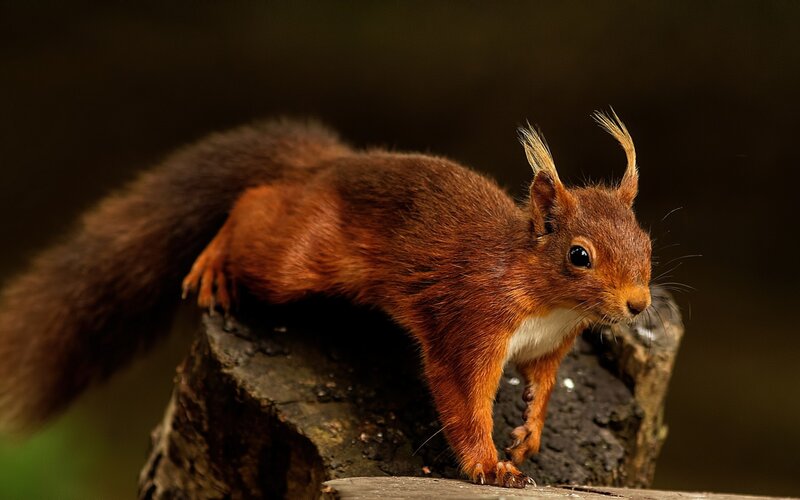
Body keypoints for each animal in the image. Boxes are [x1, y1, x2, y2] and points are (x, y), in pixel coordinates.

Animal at [0, 111, 651, 489]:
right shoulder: (470, 322)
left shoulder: (550, 346)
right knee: (257, 203)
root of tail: (327, 166)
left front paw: (530, 435)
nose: (639, 305)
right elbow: (464, 401)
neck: (545, 300)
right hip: (294, 260)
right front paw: (490, 465)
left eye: (646, 240)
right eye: (579, 255)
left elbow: (542, 387)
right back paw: (214, 262)